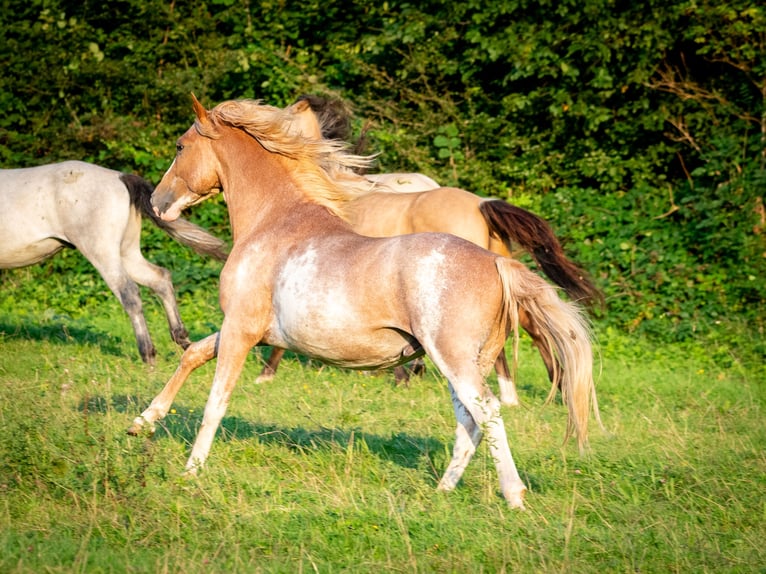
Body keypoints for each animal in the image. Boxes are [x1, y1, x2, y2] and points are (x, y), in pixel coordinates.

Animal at [0, 160, 228, 364]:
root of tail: (119, 177)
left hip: (102, 253)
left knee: (129, 292)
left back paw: (148, 355)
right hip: (127, 252)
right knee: (159, 279)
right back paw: (183, 340)